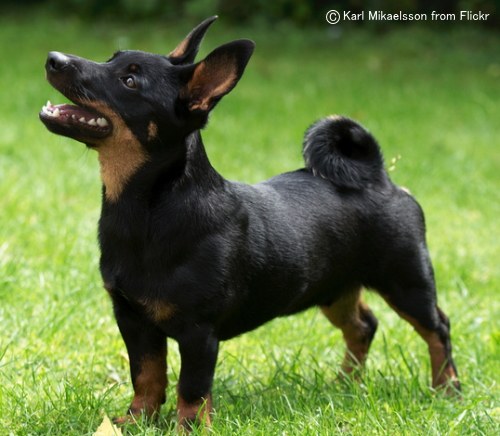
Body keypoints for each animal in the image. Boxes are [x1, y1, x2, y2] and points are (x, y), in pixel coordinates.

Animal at [40, 16, 460, 430]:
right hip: (335, 288)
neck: (146, 211)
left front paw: (188, 428)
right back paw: (346, 383)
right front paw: (135, 420)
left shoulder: (199, 333)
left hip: (407, 282)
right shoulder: (133, 320)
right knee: (363, 326)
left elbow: (191, 390)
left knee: (437, 328)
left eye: (130, 81)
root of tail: (378, 177)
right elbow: (146, 375)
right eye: (111, 59)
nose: (53, 58)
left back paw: (446, 388)